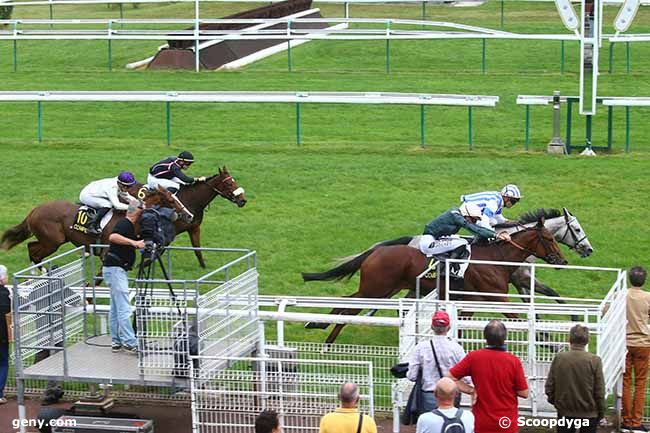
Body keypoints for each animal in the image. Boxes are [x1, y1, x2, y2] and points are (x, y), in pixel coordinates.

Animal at [302, 218, 564, 346]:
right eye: (550, 239)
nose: (562, 260)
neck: (496, 258)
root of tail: (376, 251)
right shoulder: (498, 298)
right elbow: (522, 320)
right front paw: (550, 345)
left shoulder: (470, 300)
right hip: (376, 289)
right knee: (350, 308)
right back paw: (327, 341)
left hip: (382, 288)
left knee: (347, 302)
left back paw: (317, 324)